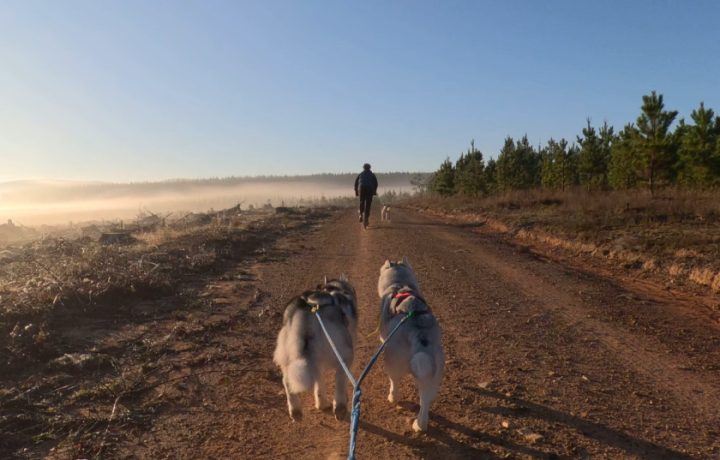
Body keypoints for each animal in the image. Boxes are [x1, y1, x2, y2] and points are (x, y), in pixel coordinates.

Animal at [272, 274, 358, 422]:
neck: (334, 288)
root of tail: (309, 307)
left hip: (289, 353)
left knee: (288, 380)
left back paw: (297, 410)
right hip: (344, 351)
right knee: (340, 381)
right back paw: (340, 407)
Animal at [376, 258, 444, 432]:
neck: (400, 283)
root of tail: (419, 333)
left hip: (392, 360)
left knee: (394, 381)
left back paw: (393, 397)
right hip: (433, 371)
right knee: (425, 399)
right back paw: (420, 425)